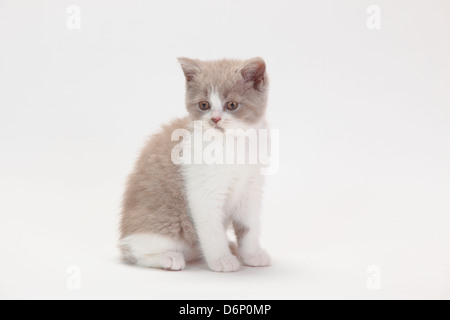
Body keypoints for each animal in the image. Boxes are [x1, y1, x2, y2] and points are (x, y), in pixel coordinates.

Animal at [119, 57, 270, 272]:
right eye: (204, 104)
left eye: (232, 105)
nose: (215, 119)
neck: (231, 143)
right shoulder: (204, 192)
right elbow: (212, 228)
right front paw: (222, 260)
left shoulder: (251, 188)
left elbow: (248, 227)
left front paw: (252, 255)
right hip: (164, 225)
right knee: (136, 251)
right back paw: (169, 258)